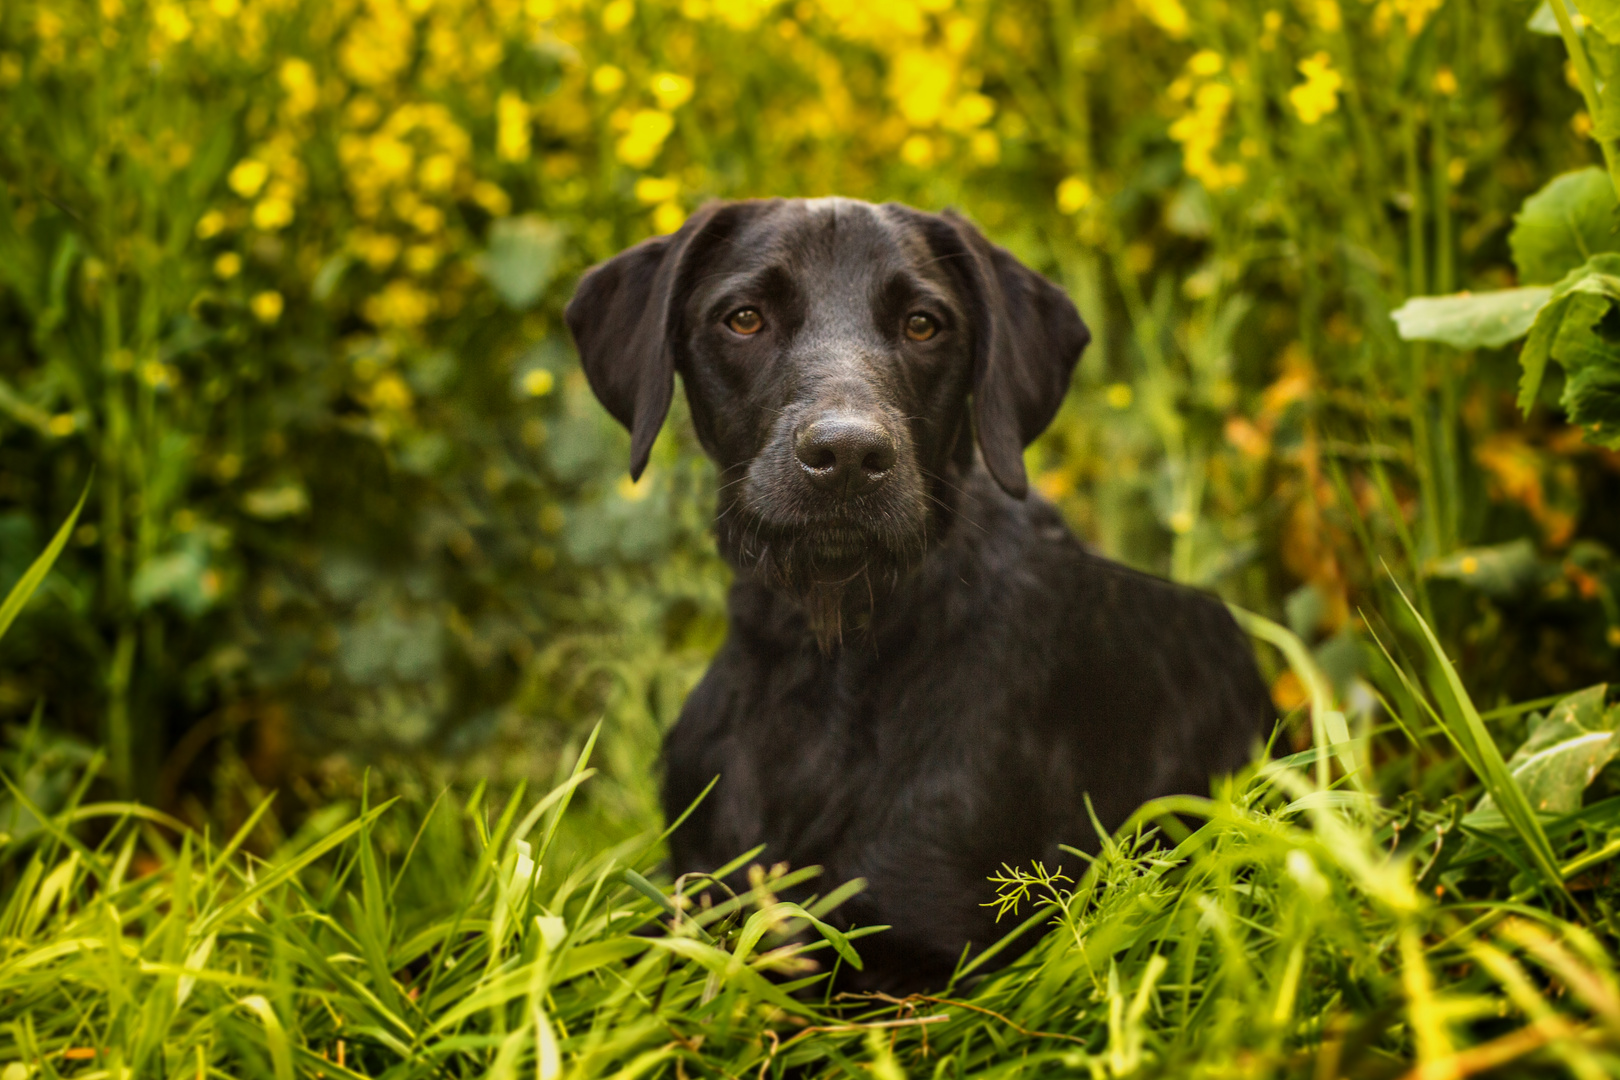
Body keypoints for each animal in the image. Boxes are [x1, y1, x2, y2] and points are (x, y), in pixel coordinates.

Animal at [570, 198, 1276, 990]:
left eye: (923, 324)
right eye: (744, 318)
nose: (848, 455)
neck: (825, 662)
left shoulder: (930, 949)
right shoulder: (696, 905)